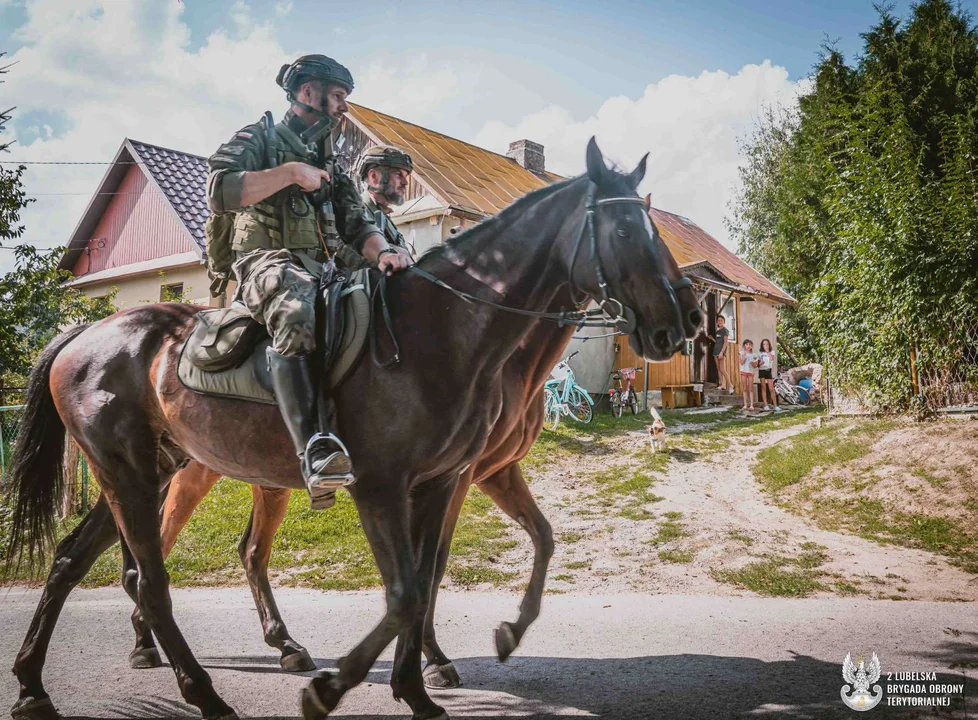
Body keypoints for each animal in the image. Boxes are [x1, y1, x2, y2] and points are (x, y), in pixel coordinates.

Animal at [122, 195, 700, 688]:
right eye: (629, 235)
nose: (691, 319)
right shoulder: (451, 478)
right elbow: (432, 566)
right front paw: (430, 657)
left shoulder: (487, 473)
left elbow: (527, 539)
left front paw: (445, 650)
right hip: (193, 471)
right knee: (158, 545)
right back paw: (147, 641)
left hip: (263, 479)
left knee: (248, 551)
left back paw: (280, 646)